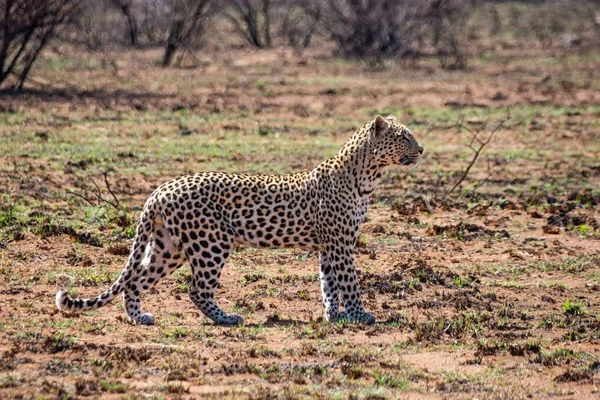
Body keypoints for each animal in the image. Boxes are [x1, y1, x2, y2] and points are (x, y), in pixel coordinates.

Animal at [55, 114, 422, 326]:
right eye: (404, 137)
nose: (422, 149)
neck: (367, 175)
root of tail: (159, 190)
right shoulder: (341, 243)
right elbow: (349, 282)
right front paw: (360, 315)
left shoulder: (329, 245)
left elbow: (329, 283)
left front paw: (336, 316)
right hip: (210, 243)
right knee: (196, 289)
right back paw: (227, 318)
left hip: (168, 248)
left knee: (136, 280)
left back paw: (139, 318)